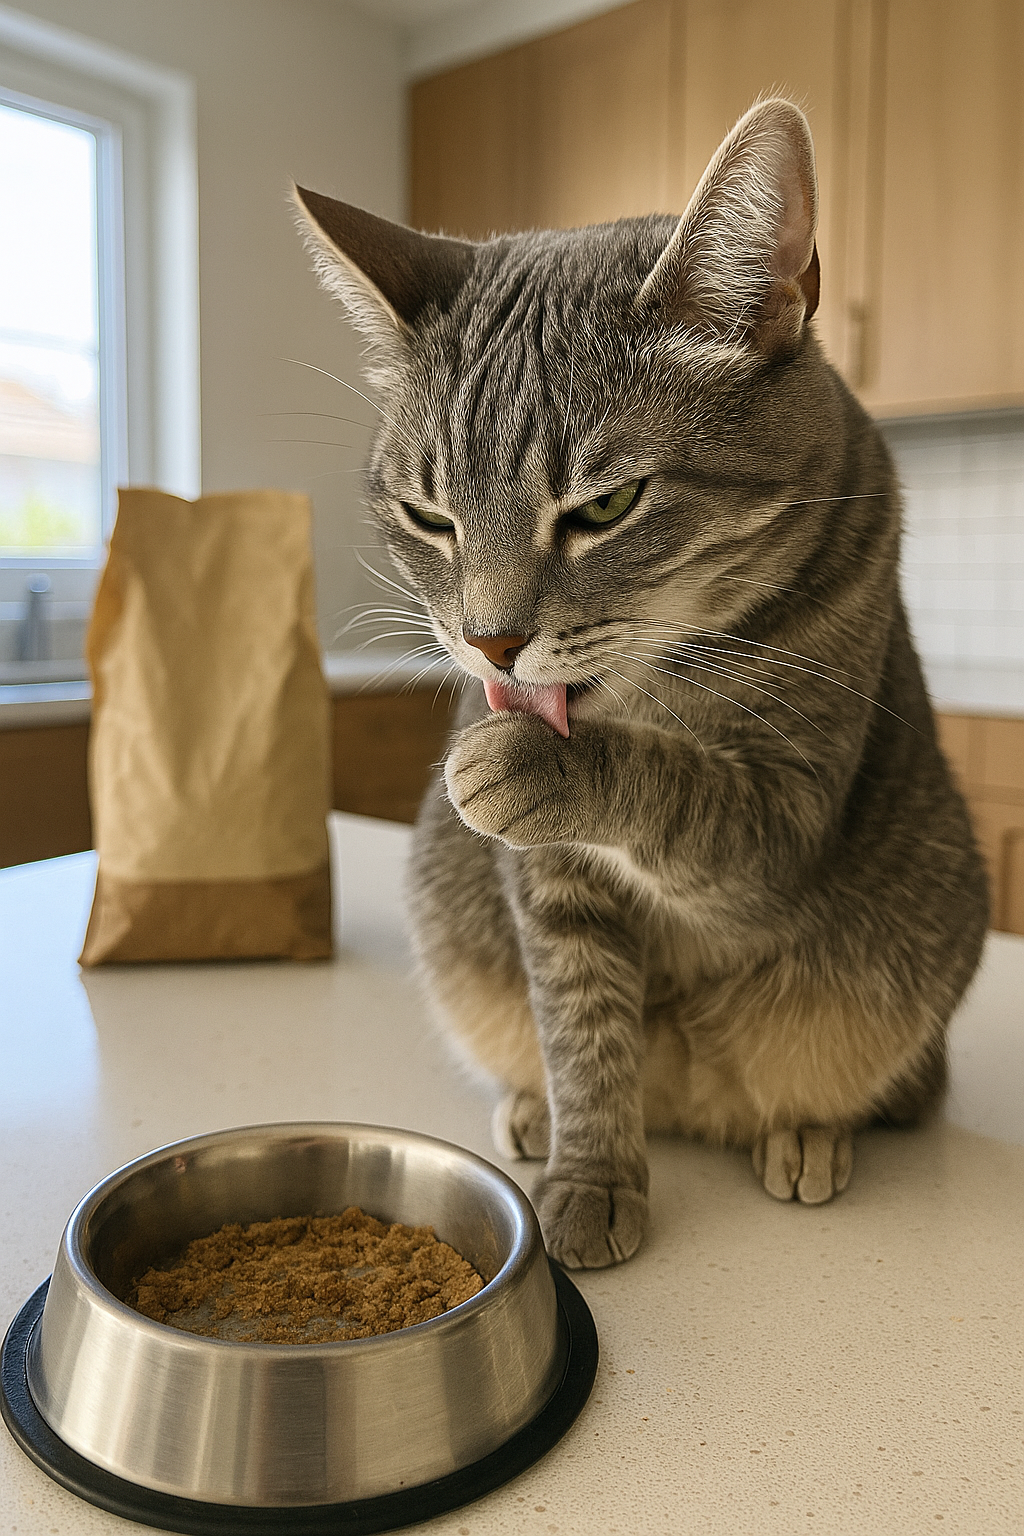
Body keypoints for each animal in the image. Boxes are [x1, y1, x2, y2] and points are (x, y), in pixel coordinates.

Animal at [294, 98, 988, 1269]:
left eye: (605, 507)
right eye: (430, 517)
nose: (490, 644)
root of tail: (699, 1096)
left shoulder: (783, 817)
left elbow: (677, 790)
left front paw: (520, 764)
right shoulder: (551, 889)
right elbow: (581, 1027)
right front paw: (592, 1171)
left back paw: (808, 1130)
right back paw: (536, 1109)